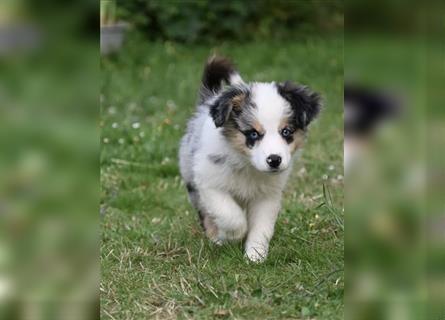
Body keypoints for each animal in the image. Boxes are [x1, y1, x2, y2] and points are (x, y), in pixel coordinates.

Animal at [179, 57, 320, 262]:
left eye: (286, 132)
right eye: (253, 134)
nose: (274, 160)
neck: (247, 165)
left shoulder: (267, 195)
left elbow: (262, 227)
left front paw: (255, 255)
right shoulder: (210, 184)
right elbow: (230, 216)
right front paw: (229, 236)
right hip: (192, 182)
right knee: (206, 215)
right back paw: (215, 237)